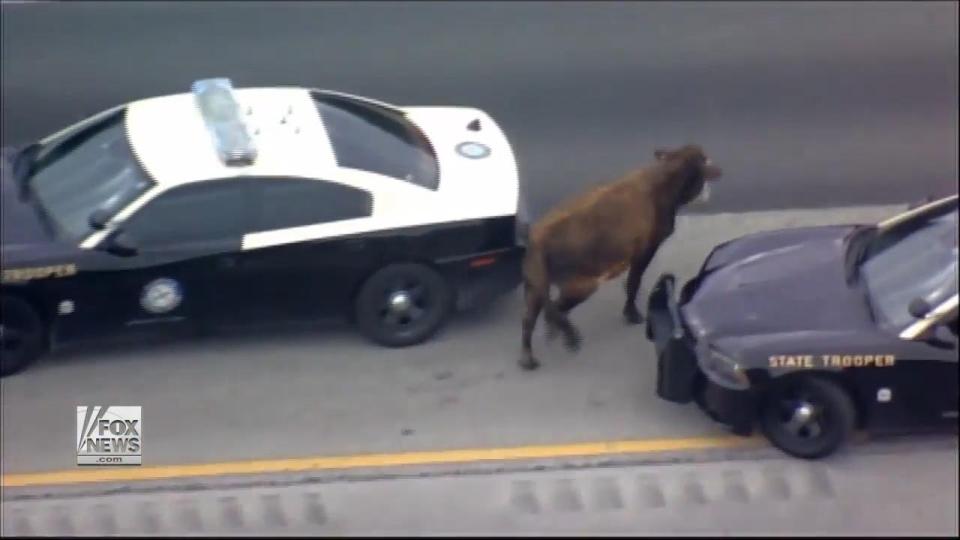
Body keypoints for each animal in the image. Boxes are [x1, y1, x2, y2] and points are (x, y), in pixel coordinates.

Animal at [516, 144, 720, 372]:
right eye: (703, 169)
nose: (708, 192)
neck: (663, 183)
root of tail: (537, 238)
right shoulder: (645, 250)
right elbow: (633, 282)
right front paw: (631, 314)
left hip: (535, 284)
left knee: (530, 317)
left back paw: (529, 357)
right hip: (581, 285)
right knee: (554, 310)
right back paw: (561, 336)